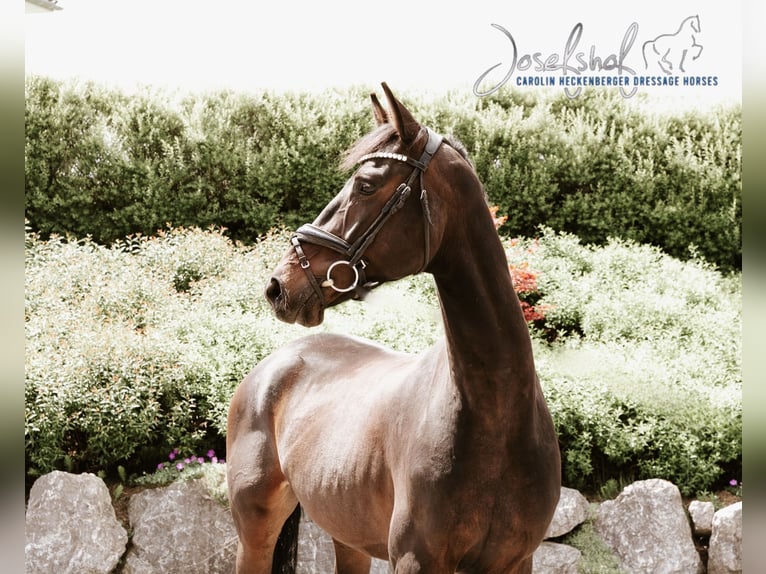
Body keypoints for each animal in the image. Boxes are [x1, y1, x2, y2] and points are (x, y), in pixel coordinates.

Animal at [226, 83, 561, 574]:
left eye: (365, 185)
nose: (279, 285)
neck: (495, 416)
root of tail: (272, 367)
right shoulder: (416, 558)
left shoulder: (515, 562)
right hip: (255, 531)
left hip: (347, 534)